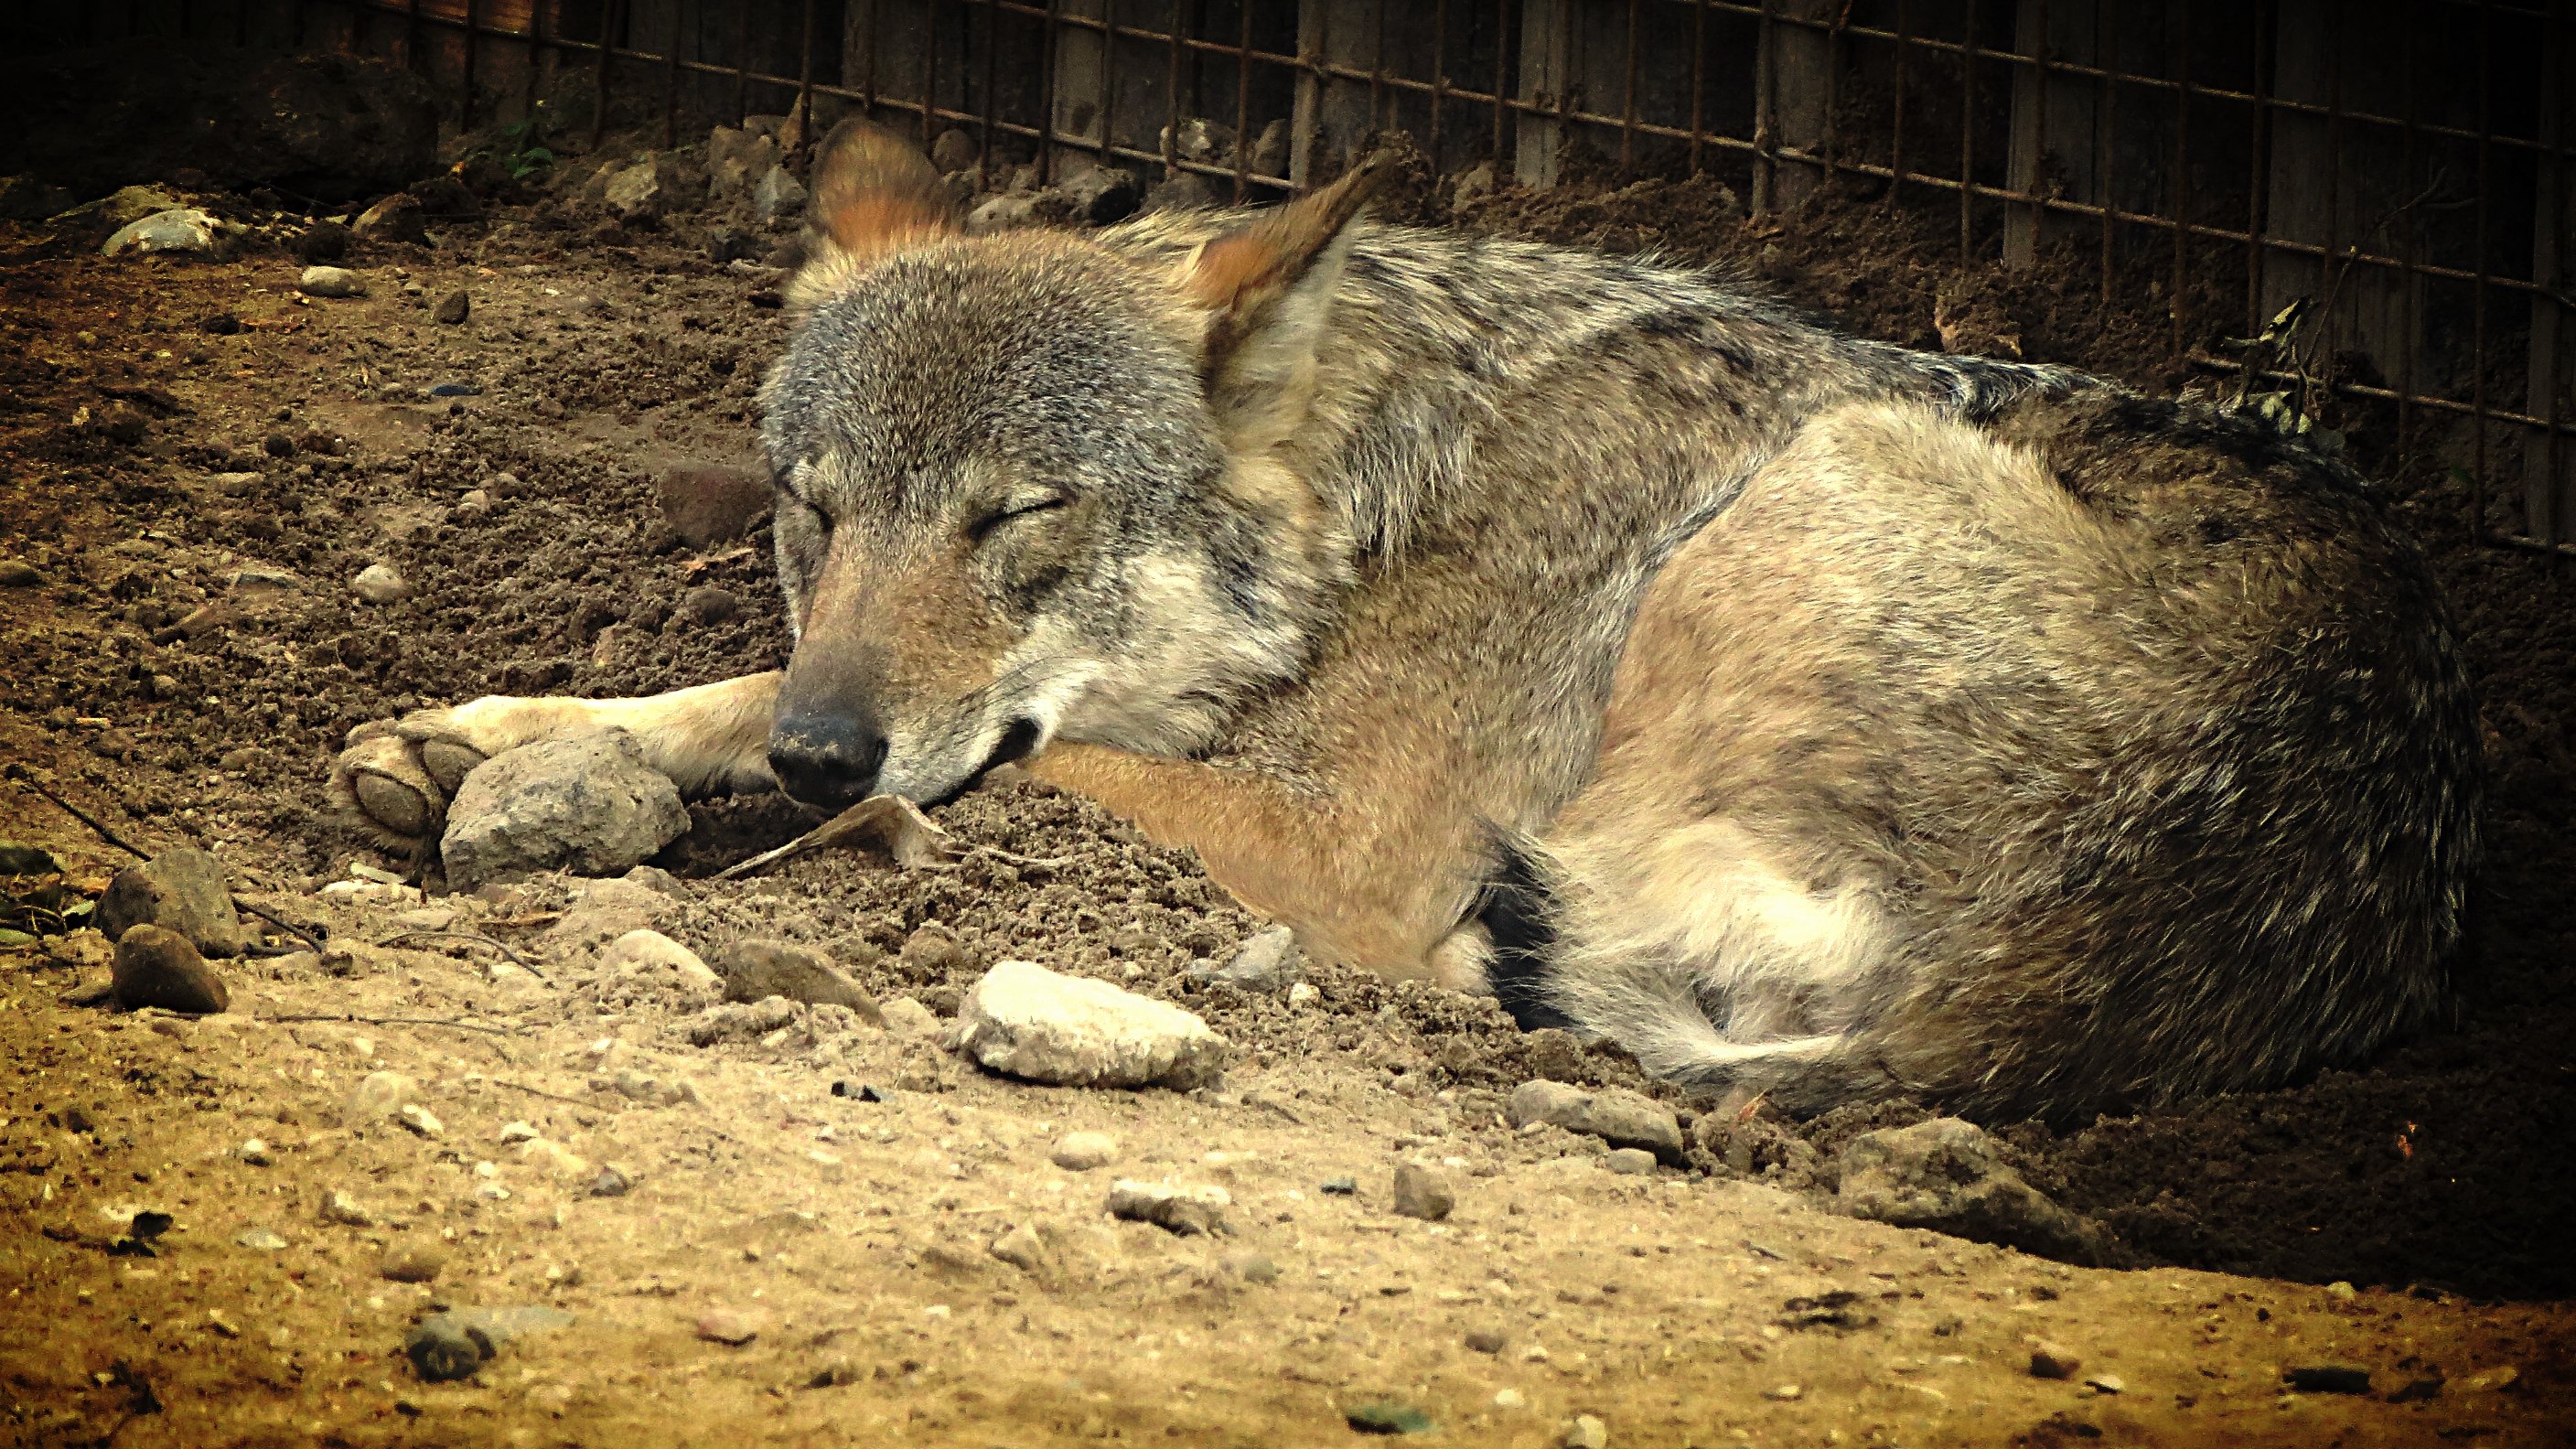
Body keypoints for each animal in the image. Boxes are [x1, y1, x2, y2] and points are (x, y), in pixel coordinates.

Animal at [332, 121, 2483, 1119]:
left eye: (1018, 518)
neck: (1394, 499)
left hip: (1792, 500)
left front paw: (702, 829)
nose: (816, 750)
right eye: (815, 509)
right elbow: (722, 685)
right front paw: (507, 733)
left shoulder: (1341, 830)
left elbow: (1023, 779)